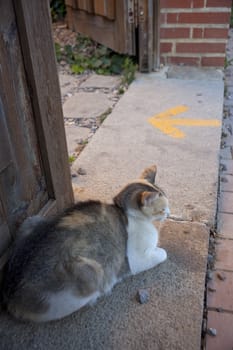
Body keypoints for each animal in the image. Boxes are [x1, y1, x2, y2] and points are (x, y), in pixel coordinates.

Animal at [1, 165, 169, 322]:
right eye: (162, 209)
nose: (169, 213)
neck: (126, 212)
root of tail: (10, 294)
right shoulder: (137, 260)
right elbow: (163, 253)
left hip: (32, 220)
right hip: (91, 271)